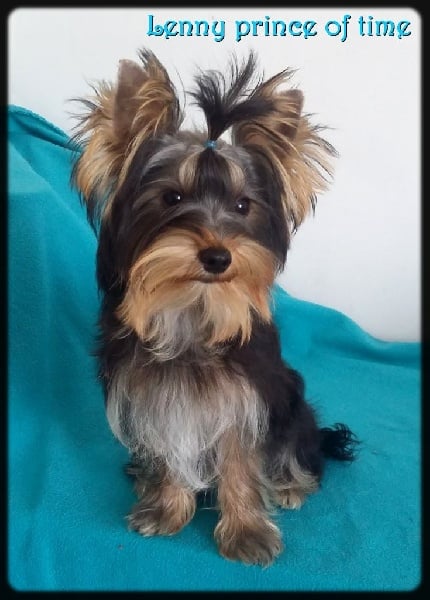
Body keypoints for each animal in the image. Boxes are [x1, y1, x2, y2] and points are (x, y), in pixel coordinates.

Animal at [72, 48, 358, 566]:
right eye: (172, 198)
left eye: (243, 205)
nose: (218, 257)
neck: (191, 309)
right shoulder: (152, 398)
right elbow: (167, 446)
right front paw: (166, 507)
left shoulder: (247, 400)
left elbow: (241, 459)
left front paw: (246, 531)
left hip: (291, 403)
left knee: (298, 444)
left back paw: (290, 484)